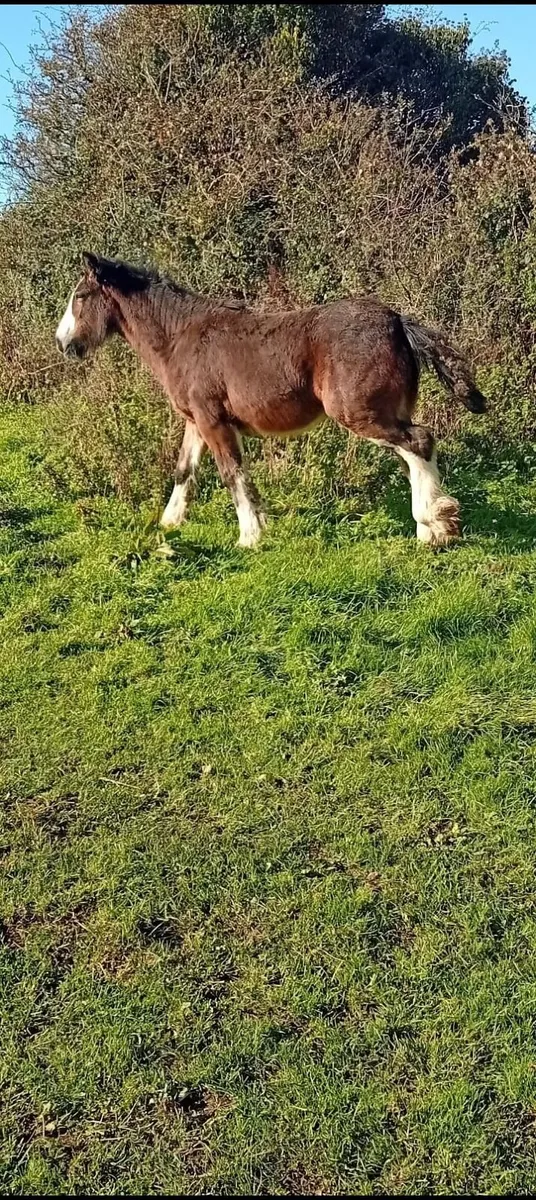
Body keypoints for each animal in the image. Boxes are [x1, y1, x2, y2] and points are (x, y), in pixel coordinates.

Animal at [56, 253, 486, 547]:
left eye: (80, 296)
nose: (63, 343)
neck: (180, 338)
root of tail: (397, 321)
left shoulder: (213, 421)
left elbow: (232, 473)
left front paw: (250, 536)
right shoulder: (196, 420)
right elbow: (184, 471)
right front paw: (169, 522)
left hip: (361, 413)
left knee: (419, 441)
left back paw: (436, 525)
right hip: (386, 412)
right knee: (413, 454)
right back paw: (430, 528)